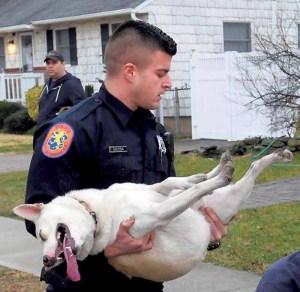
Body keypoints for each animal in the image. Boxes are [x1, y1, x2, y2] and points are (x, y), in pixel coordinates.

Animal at [14, 149, 292, 282]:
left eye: (41, 234)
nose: (47, 260)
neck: (98, 214)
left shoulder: (148, 190)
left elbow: (171, 182)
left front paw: (198, 177)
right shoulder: (156, 215)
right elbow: (186, 195)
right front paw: (210, 179)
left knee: (252, 166)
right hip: (233, 199)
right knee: (249, 171)